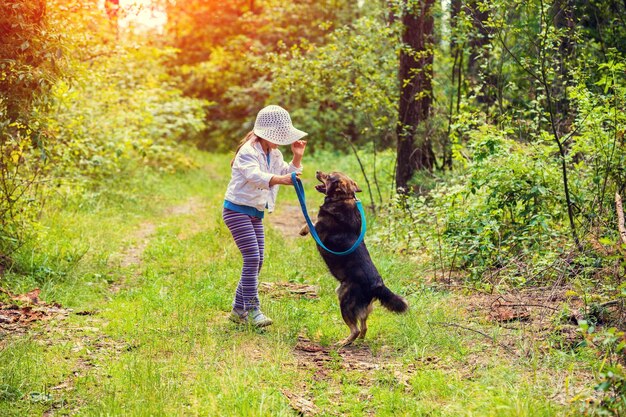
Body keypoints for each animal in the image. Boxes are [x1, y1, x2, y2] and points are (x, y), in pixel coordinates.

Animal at [298, 169, 408, 344]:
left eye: (328, 176)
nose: (317, 171)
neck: (343, 198)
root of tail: (377, 285)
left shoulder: (320, 227)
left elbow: (311, 222)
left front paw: (303, 230)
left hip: (344, 299)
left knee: (355, 329)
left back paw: (344, 342)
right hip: (362, 306)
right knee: (364, 326)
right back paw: (360, 340)